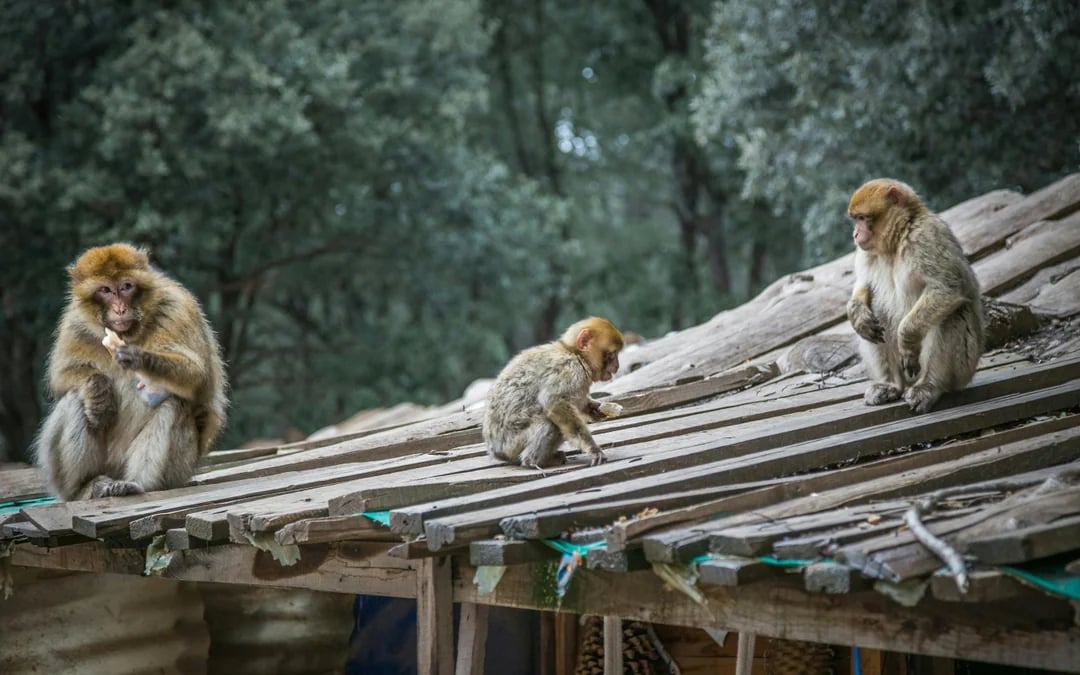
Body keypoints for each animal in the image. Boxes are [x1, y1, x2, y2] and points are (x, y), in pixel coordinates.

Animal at [33, 243, 228, 500]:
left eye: (126, 286)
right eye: (105, 290)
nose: (119, 308)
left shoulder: (176, 308)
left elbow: (197, 376)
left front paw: (140, 358)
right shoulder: (74, 322)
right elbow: (61, 377)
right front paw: (99, 391)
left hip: (176, 470)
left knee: (174, 402)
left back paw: (138, 483)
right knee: (75, 397)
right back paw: (87, 486)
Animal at [483, 317, 624, 469]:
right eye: (612, 355)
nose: (617, 365)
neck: (574, 354)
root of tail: (494, 450)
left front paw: (595, 408)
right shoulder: (569, 369)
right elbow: (554, 402)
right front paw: (593, 449)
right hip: (512, 444)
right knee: (549, 424)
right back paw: (533, 461)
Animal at [846, 178, 985, 414]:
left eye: (863, 218)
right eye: (856, 219)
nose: (855, 234)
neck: (894, 244)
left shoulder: (927, 237)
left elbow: (946, 288)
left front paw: (907, 339)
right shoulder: (865, 254)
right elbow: (863, 285)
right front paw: (857, 312)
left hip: (965, 367)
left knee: (953, 314)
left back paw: (929, 386)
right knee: (876, 310)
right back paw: (890, 384)